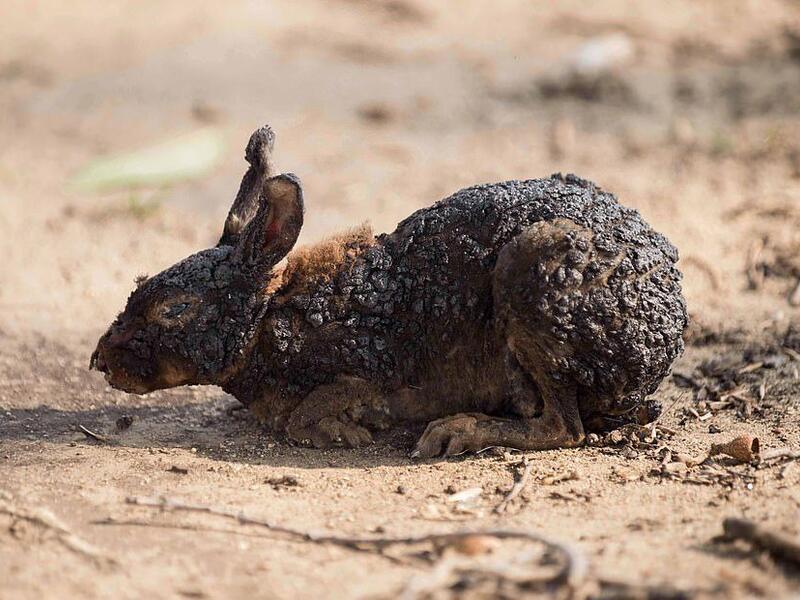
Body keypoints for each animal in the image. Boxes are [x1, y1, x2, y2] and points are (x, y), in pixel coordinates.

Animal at [91, 125, 687, 458]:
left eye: (174, 310)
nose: (100, 360)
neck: (270, 317)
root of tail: (666, 334)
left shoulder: (370, 370)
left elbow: (309, 412)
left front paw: (341, 433)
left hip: (534, 270)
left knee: (565, 427)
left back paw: (458, 432)